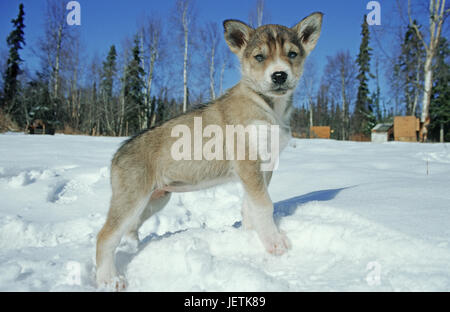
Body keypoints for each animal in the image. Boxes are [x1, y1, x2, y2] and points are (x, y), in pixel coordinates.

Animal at [96, 12, 322, 290]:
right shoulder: (248, 163)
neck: (269, 106)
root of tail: (117, 154)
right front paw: (274, 243)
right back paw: (109, 278)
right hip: (132, 199)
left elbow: (251, 207)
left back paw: (132, 249)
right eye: (259, 57)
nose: (279, 75)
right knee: (105, 236)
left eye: (292, 54)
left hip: (155, 200)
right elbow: (264, 205)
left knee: (130, 228)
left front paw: (251, 237)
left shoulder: (262, 169)